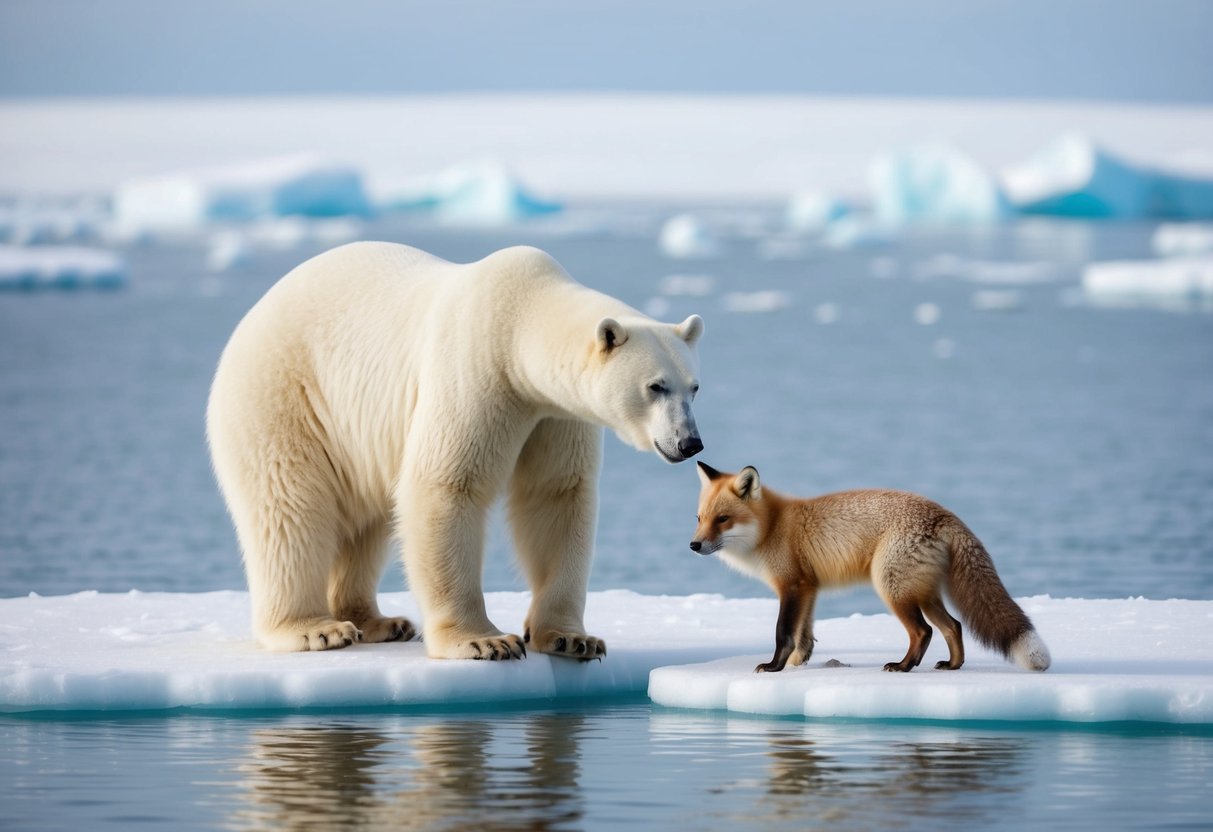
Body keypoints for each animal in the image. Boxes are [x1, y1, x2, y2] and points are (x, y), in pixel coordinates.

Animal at [206, 242, 705, 660]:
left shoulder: (556, 414)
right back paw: (316, 629)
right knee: (291, 507)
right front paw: (485, 641)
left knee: (367, 521)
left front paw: (572, 638)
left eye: (694, 386)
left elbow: (556, 496)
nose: (690, 443)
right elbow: (446, 486)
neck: (518, 320)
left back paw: (380, 621)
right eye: (655, 386)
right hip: (284, 395)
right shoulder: (477, 372)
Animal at [690, 462, 1051, 674]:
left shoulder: (792, 586)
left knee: (924, 631)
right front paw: (797, 664)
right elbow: (804, 635)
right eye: (700, 518)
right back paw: (952, 665)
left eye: (722, 519)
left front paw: (775, 666)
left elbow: (783, 632)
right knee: (954, 626)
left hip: (892, 588)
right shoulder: (809, 589)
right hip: (923, 592)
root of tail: (945, 513)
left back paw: (903, 666)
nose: (694, 545)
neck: (772, 527)